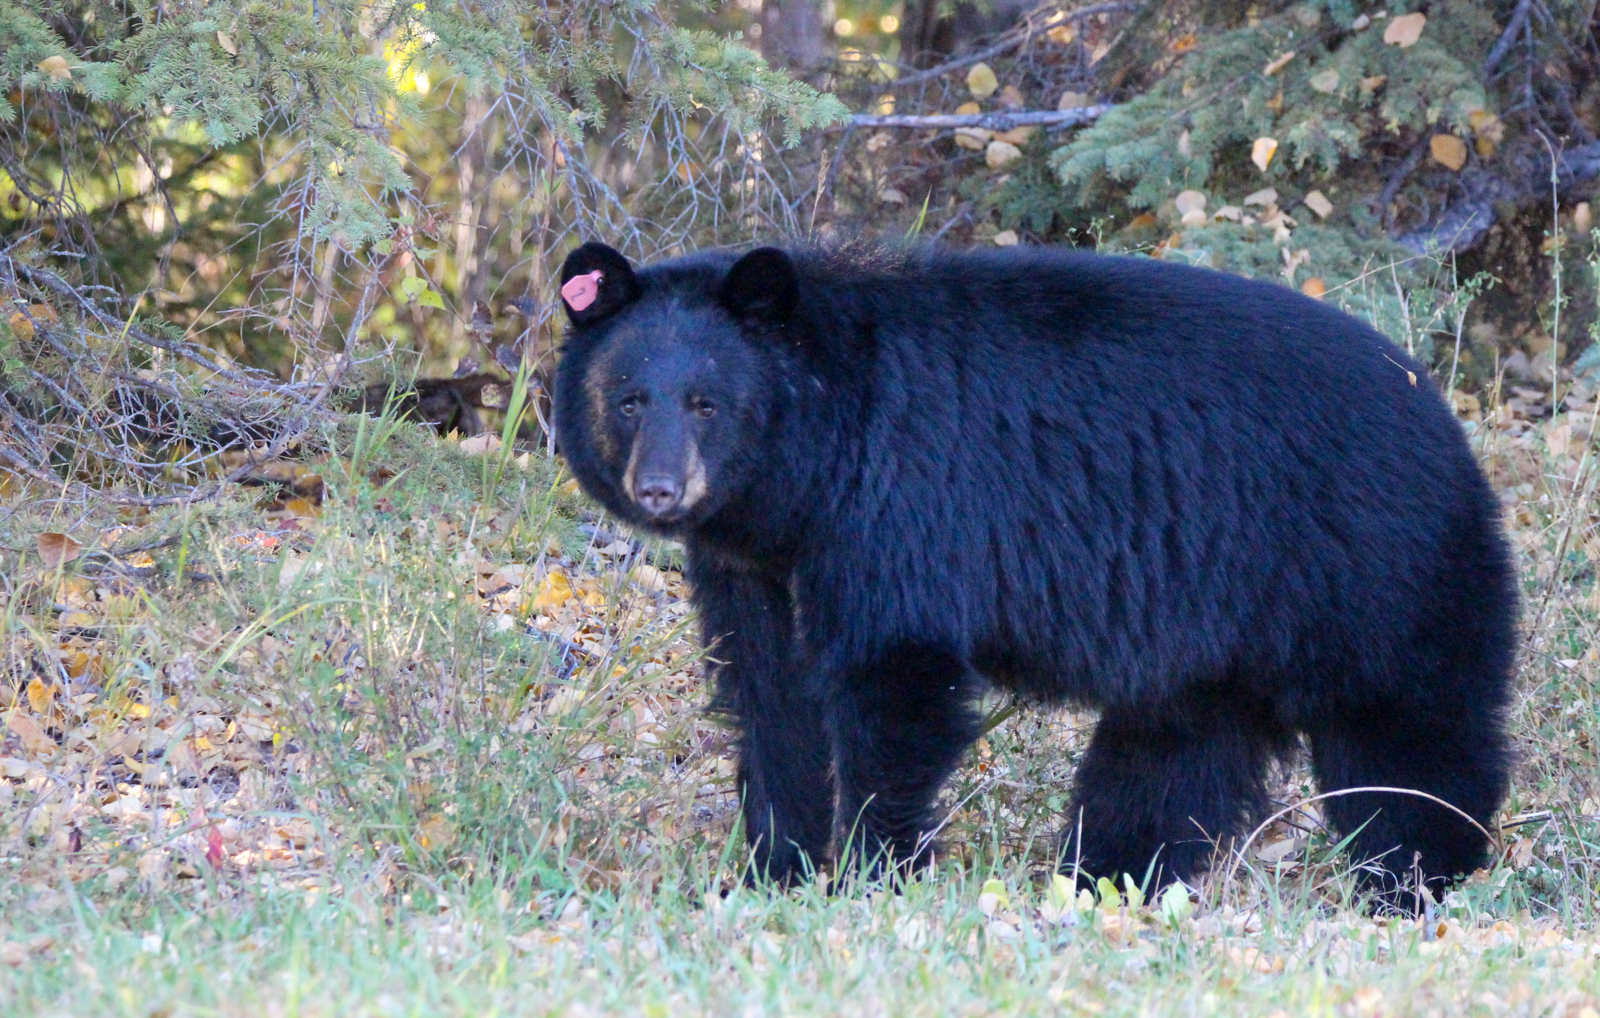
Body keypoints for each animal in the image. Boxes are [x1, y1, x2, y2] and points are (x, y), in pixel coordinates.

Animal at [551, 239, 1517, 903]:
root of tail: (1440, 412)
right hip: (1216, 639)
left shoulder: (900, 507)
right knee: (1169, 760)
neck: (812, 472)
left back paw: (1415, 876)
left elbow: (893, 682)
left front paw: (872, 870)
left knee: (1407, 734)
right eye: (628, 399)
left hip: (1365, 568)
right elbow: (769, 695)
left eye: (707, 403)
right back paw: (1106, 879)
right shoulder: (752, 564)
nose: (661, 488)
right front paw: (771, 870)